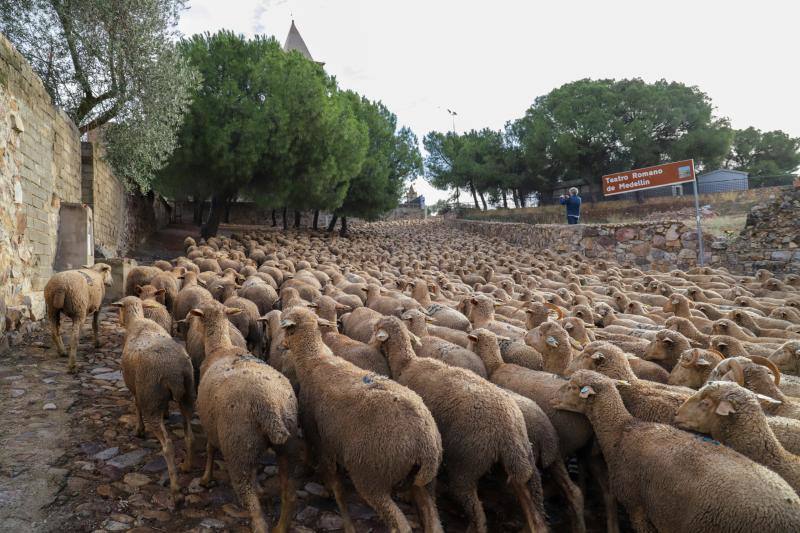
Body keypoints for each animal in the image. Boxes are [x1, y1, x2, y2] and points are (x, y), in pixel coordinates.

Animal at [190, 300, 296, 532]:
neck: (220, 347)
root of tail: (270, 406)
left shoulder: (209, 421)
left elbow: (210, 449)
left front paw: (205, 478)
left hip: (237, 447)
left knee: (251, 501)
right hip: (283, 446)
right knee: (289, 494)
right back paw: (281, 526)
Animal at [280, 306, 444, 532]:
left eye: (286, 328)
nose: (281, 345)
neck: (313, 360)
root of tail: (426, 445)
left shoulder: (316, 432)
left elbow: (327, 471)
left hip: (372, 475)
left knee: (399, 523)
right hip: (425, 482)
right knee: (432, 516)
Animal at [370, 316, 548, 532]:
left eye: (376, 329)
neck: (406, 363)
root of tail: (508, 431)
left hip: (467, 464)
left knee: (477, 512)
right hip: (523, 460)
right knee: (534, 509)